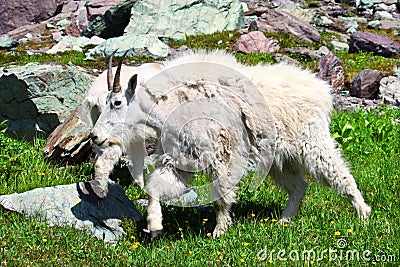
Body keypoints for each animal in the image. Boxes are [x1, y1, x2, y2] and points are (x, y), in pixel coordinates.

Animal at [90, 49, 372, 239]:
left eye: (117, 103)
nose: (95, 137)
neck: (171, 106)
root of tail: (320, 90)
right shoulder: (179, 160)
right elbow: (155, 188)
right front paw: (155, 226)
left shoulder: (220, 156)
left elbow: (221, 195)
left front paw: (219, 230)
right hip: (279, 158)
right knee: (299, 186)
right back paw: (284, 221)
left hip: (312, 142)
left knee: (341, 175)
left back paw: (363, 213)